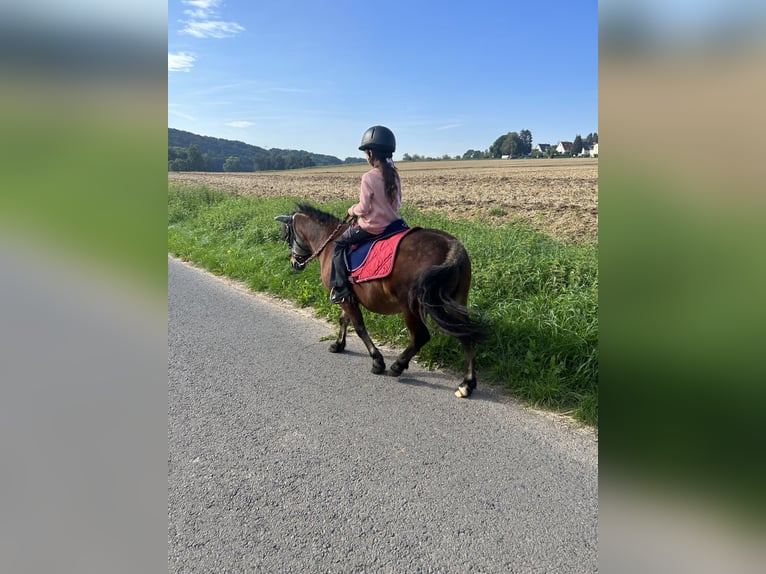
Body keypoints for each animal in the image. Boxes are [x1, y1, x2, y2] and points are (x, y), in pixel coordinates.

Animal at [280, 205, 488, 398]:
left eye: (286, 235)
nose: (294, 262)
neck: (330, 242)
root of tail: (451, 246)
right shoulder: (346, 296)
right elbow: (344, 320)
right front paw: (338, 344)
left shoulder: (346, 299)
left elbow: (359, 327)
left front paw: (377, 361)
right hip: (456, 301)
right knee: (466, 335)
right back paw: (467, 384)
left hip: (410, 307)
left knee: (421, 336)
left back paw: (398, 366)